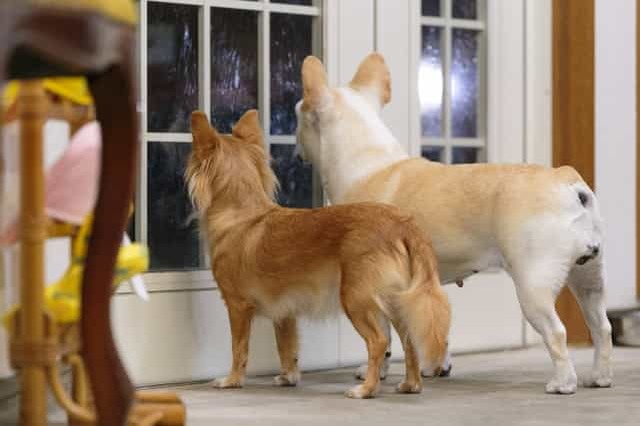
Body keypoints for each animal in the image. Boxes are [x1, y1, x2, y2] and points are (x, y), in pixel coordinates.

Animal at [185, 108, 450, 398]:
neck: (241, 213)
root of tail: (402, 223)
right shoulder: (285, 312)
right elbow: (287, 347)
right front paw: (288, 377)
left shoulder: (238, 306)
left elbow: (239, 348)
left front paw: (232, 380)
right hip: (397, 300)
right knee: (409, 340)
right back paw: (411, 384)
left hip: (356, 299)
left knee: (378, 342)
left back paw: (366, 389)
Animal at [298, 53, 612, 396]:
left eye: (298, 113)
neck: (369, 162)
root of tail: (568, 183)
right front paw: (436, 366)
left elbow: (384, 336)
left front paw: (377, 372)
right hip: (588, 278)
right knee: (601, 326)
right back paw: (600, 376)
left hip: (534, 285)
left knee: (557, 332)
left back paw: (562, 383)